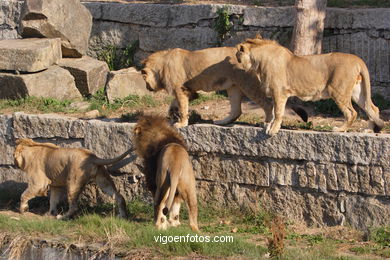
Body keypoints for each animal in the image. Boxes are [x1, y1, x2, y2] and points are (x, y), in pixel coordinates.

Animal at [235, 36, 384, 136]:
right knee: (372, 108)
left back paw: (340, 129)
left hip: (338, 91)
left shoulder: (279, 92)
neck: (258, 63)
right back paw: (369, 130)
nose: (235, 58)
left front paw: (273, 130)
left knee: (352, 113)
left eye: (238, 53)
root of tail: (358, 60)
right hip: (357, 91)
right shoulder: (275, 93)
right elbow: (272, 112)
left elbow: (277, 112)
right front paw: (268, 126)